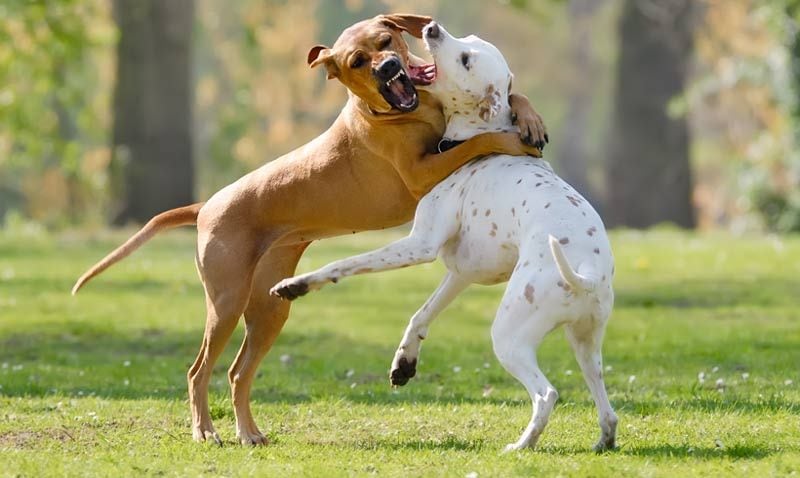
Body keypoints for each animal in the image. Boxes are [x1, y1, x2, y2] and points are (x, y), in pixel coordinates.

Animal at [72, 13, 548, 446]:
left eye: (386, 40)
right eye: (358, 61)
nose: (388, 68)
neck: (409, 110)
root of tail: (207, 206)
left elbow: (512, 95)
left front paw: (529, 117)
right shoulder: (420, 173)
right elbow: (477, 141)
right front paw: (512, 138)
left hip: (269, 309)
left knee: (238, 372)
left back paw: (249, 433)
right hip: (226, 302)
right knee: (198, 371)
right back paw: (206, 431)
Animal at [272, 21, 616, 452]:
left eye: (466, 58)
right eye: (467, 40)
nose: (433, 27)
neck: (476, 140)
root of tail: (588, 272)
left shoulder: (420, 245)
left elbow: (344, 263)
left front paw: (296, 284)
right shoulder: (461, 273)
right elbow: (421, 313)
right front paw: (404, 361)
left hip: (509, 336)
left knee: (546, 394)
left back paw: (521, 445)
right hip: (586, 346)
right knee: (606, 404)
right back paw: (604, 439)